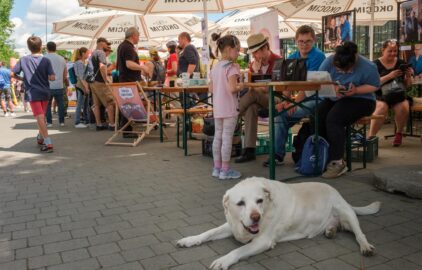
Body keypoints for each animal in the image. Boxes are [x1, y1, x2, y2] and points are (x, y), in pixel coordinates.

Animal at [176, 176, 380, 268]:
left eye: (259, 200)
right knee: (336, 226)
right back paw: (330, 231)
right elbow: (208, 232)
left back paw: (366, 247)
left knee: (359, 234)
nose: (256, 217)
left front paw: (223, 260)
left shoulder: (262, 241)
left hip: (347, 212)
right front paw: (189, 240)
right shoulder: (233, 225)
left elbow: (237, 250)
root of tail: (335, 190)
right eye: (240, 203)